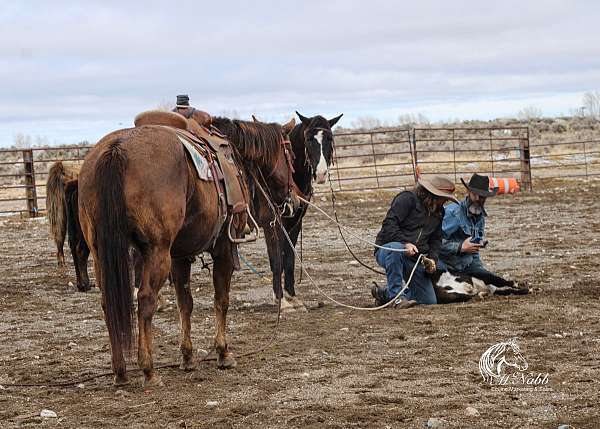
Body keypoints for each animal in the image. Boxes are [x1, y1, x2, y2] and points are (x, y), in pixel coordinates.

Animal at [77, 117, 298, 384]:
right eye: (291, 157)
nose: (295, 201)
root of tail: (116, 148)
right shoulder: (224, 249)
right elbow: (221, 300)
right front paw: (223, 352)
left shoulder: (179, 257)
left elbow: (186, 304)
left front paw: (188, 356)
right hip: (157, 251)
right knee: (146, 299)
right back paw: (149, 370)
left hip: (102, 254)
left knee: (108, 303)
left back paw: (120, 371)